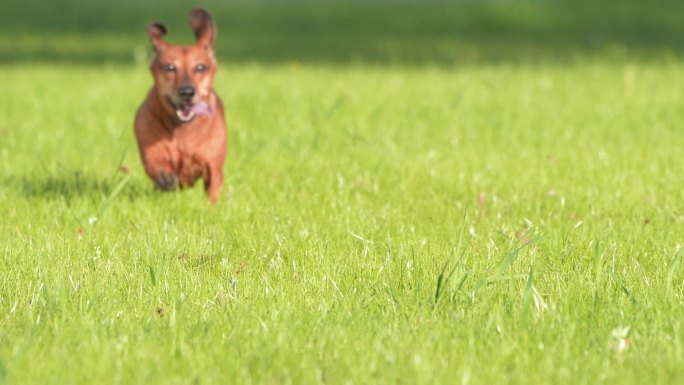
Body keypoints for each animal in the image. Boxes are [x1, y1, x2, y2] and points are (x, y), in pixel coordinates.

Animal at [134, 8, 227, 204]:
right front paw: (165, 178)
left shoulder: (213, 166)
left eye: (200, 67)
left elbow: (213, 189)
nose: (187, 92)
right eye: (169, 67)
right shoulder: (151, 148)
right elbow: (155, 164)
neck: (184, 131)